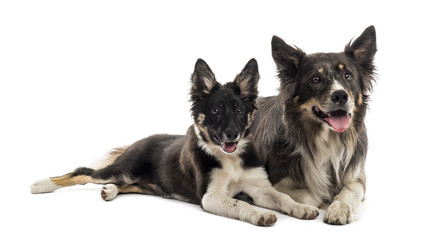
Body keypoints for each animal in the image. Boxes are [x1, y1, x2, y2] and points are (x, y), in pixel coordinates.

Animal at [30, 59, 318, 226]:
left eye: (239, 111)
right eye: (216, 111)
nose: (232, 135)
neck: (229, 159)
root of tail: (139, 140)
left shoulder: (259, 187)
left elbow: (282, 197)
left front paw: (302, 208)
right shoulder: (210, 196)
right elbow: (241, 203)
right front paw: (259, 215)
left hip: (147, 184)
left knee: (125, 185)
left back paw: (109, 191)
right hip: (124, 168)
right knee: (84, 172)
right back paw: (42, 184)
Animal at [252, 26, 378, 225]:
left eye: (348, 75)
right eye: (316, 79)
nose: (340, 95)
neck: (326, 137)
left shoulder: (357, 176)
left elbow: (350, 191)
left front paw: (338, 209)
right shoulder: (277, 181)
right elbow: (313, 195)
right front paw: (326, 201)